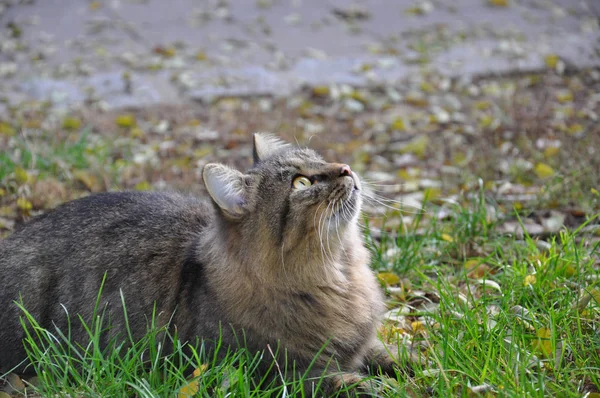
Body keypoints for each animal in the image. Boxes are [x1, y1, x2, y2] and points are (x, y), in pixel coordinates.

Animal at [0, 133, 406, 394]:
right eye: (302, 183)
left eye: (320, 159)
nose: (346, 168)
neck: (339, 277)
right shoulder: (262, 371)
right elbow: (334, 381)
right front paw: (377, 387)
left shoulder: (365, 344)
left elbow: (395, 357)